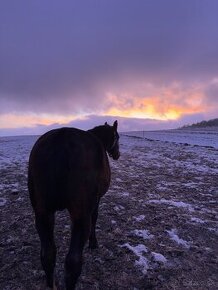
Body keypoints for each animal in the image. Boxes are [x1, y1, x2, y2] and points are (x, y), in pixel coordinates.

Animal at [27, 120, 120, 290]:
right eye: (117, 137)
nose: (117, 154)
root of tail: (60, 140)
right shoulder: (96, 201)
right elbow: (95, 217)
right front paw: (93, 243)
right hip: (80, 217)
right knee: (73, 263)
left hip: (43, 214)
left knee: (48, 255)